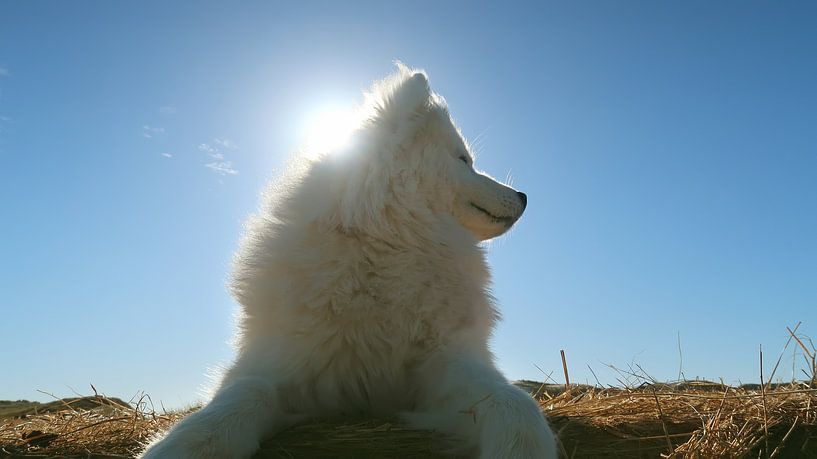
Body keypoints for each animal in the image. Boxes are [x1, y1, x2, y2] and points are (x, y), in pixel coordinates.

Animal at [143, 64, 556, 459]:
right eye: (463, 159)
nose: (523, 196)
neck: (390, 245)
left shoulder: (443, 367)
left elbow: (510, 398)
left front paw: (524, 445)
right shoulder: (283, 365)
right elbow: (247, 392)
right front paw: (184, 443)